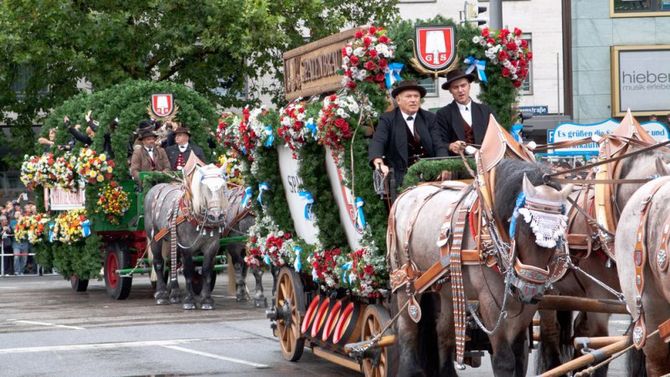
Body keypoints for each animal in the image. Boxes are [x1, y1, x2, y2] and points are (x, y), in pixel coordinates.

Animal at [392, 159, 576, 376]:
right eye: (523, 228)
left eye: (560, 234)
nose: (529, 290)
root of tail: (407, 192)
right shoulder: (490, 301)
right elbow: (504, 359)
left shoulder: (527, 307)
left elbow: (519, 355)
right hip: (406, 283)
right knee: (408, 331)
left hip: (448, 290)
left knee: (443, 332)